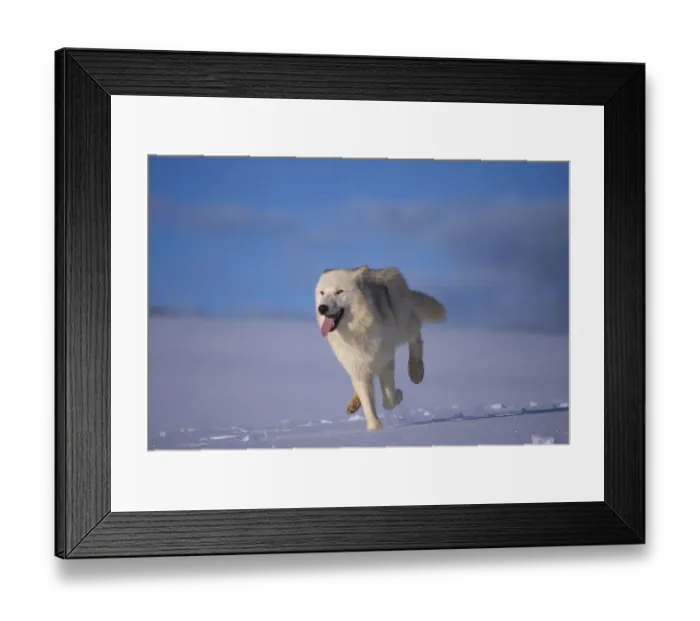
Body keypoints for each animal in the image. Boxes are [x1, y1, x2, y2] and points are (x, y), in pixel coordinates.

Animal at [315, 265, 447, 431]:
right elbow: (368, 403)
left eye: (339, 291)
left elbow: (389, 400)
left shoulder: (386, 362)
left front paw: (398, 395)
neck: (358, 332)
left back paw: (416, 371)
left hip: (404, 327)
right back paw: (353, 404)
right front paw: (374, 428)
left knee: (417, 336)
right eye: (322, 293)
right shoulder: (358, 367)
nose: (322, 308)